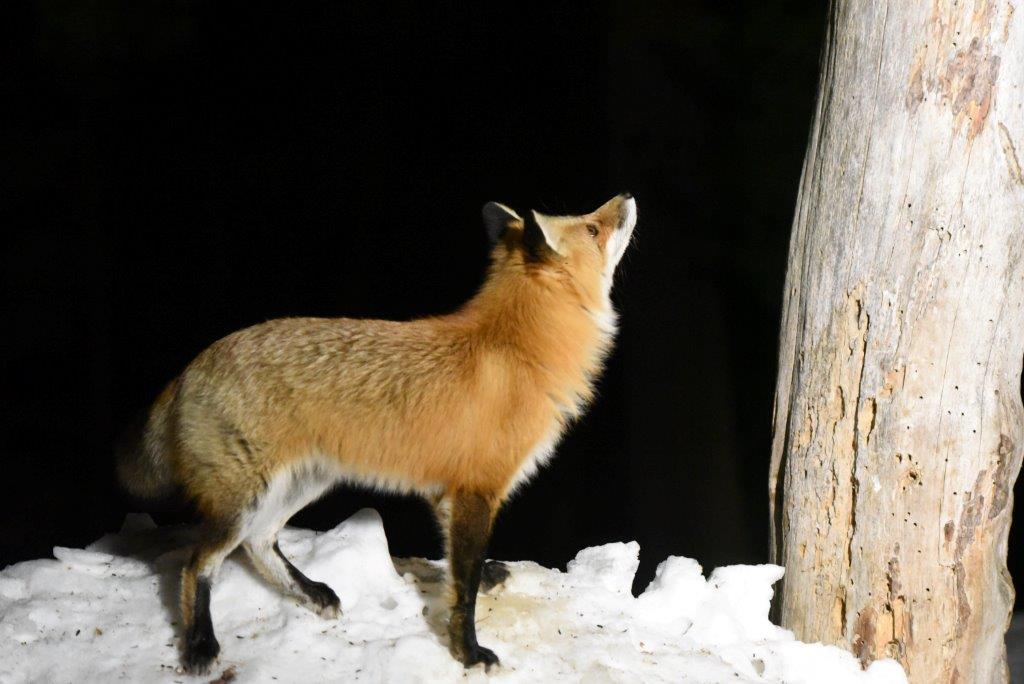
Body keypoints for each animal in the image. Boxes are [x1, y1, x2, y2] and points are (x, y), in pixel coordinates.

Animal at [117, 193, 637, 674]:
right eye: (592, 228)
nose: (626, 196)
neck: (517, 349)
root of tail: (190, 368)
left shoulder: (446, 487)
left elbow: (460, 566)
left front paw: (483, 583)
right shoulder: (477, 489)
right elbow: (463, 589)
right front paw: (467, 652)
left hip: (302, 484)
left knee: (259, 543)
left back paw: (312, 593)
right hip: (245, 501)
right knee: (197, 565)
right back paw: (201, 644)